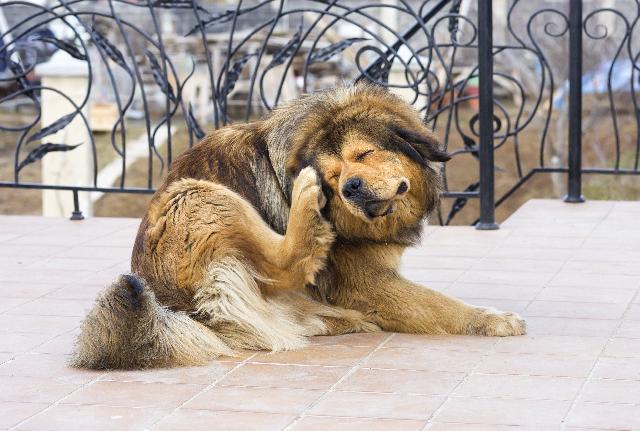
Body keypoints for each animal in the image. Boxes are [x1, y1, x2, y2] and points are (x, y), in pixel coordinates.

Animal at [74, 85, 524, 372]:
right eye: (333, 176)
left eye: (364, 154)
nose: (349, 187)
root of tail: (172, 307)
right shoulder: (366, 281)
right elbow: (440, 305)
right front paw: (492, 320)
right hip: (196, 195)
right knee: (283, 264)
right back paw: (306, 212)